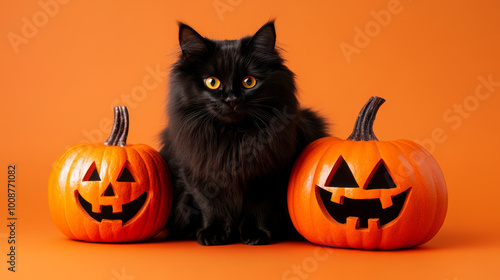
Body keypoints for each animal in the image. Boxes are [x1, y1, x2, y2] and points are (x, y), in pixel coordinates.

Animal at [158, 21, 326, 245]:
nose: (231, 100)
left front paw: (255, 234)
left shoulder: (269, 175)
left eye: (249, 81)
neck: (234, 138)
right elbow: (211, 205)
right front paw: (213, 234)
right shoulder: (197, 172)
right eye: (212, 82)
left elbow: (258, 208)